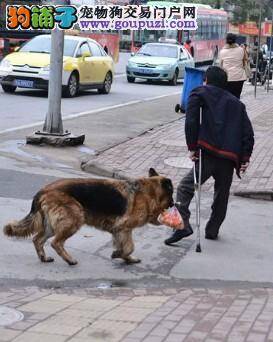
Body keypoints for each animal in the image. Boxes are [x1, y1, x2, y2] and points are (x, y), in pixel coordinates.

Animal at [3, 168, 172, 264]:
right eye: (171, 196)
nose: (174, 204)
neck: (149, 193)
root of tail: (43, 190)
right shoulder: (124, 228)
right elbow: (129, 247)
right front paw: (121, 255)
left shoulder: (119, 231)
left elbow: (124, 246)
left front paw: (125, 258)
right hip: (75, 218)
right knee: (56, 243)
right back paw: (69, 260)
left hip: (52, 225)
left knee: (37, 239)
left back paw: (44, 258)